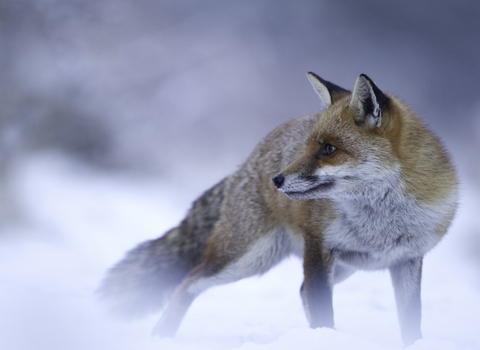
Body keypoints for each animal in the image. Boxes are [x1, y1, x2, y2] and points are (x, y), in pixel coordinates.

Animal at [98, 72, 458, 346]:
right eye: (308, 146)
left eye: (329, 149)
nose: (277, 180)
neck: (381, 222)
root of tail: (249, 158)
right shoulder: (318, 248)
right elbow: (324, 313)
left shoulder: (407, 259)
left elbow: (411, 324)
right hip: (244, 258)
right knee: (188, 281)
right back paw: (161, 335)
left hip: (342, 267)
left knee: (299, 292)